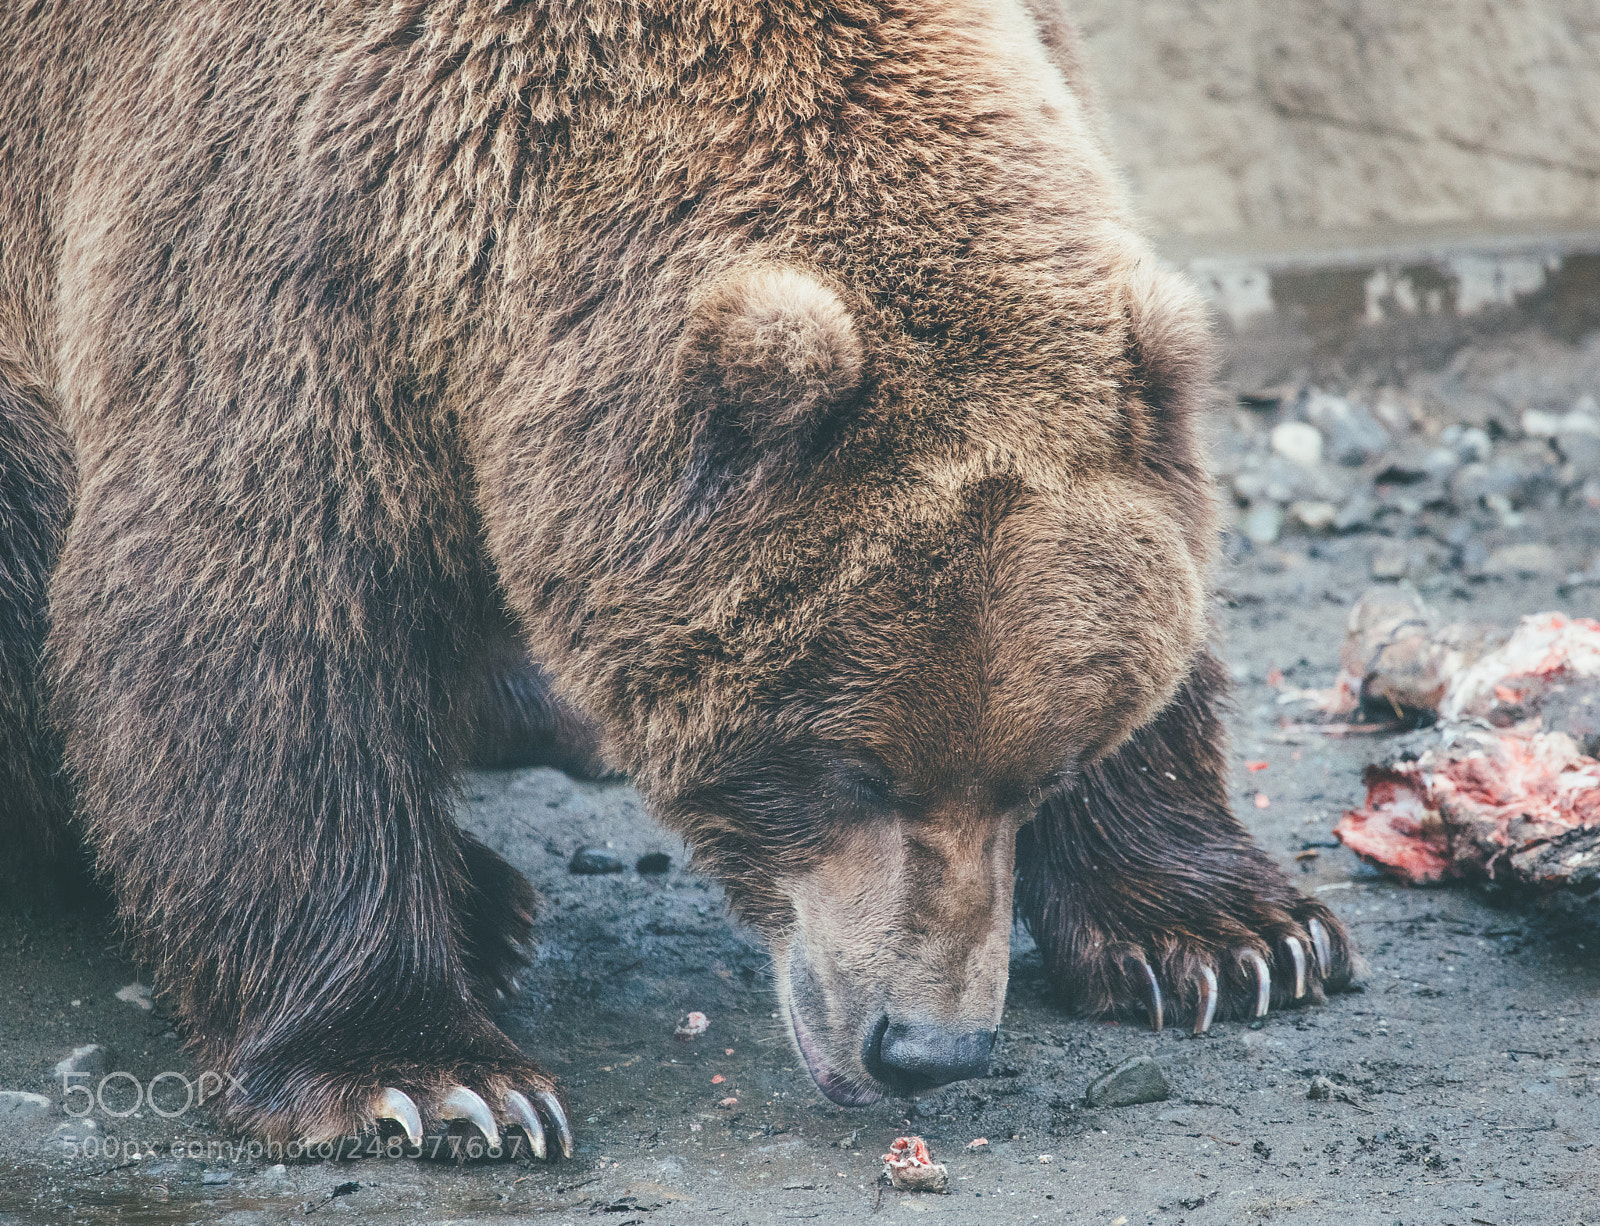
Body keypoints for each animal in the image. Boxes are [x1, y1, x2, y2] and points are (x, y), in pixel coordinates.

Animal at [0, 0, 1352, 1154]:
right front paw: (426, 1073)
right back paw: (480, 900)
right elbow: (255, 612)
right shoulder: (291, 217)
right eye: (848, 765)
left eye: (1048, 766)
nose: (927, 1045)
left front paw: (1231, 934)